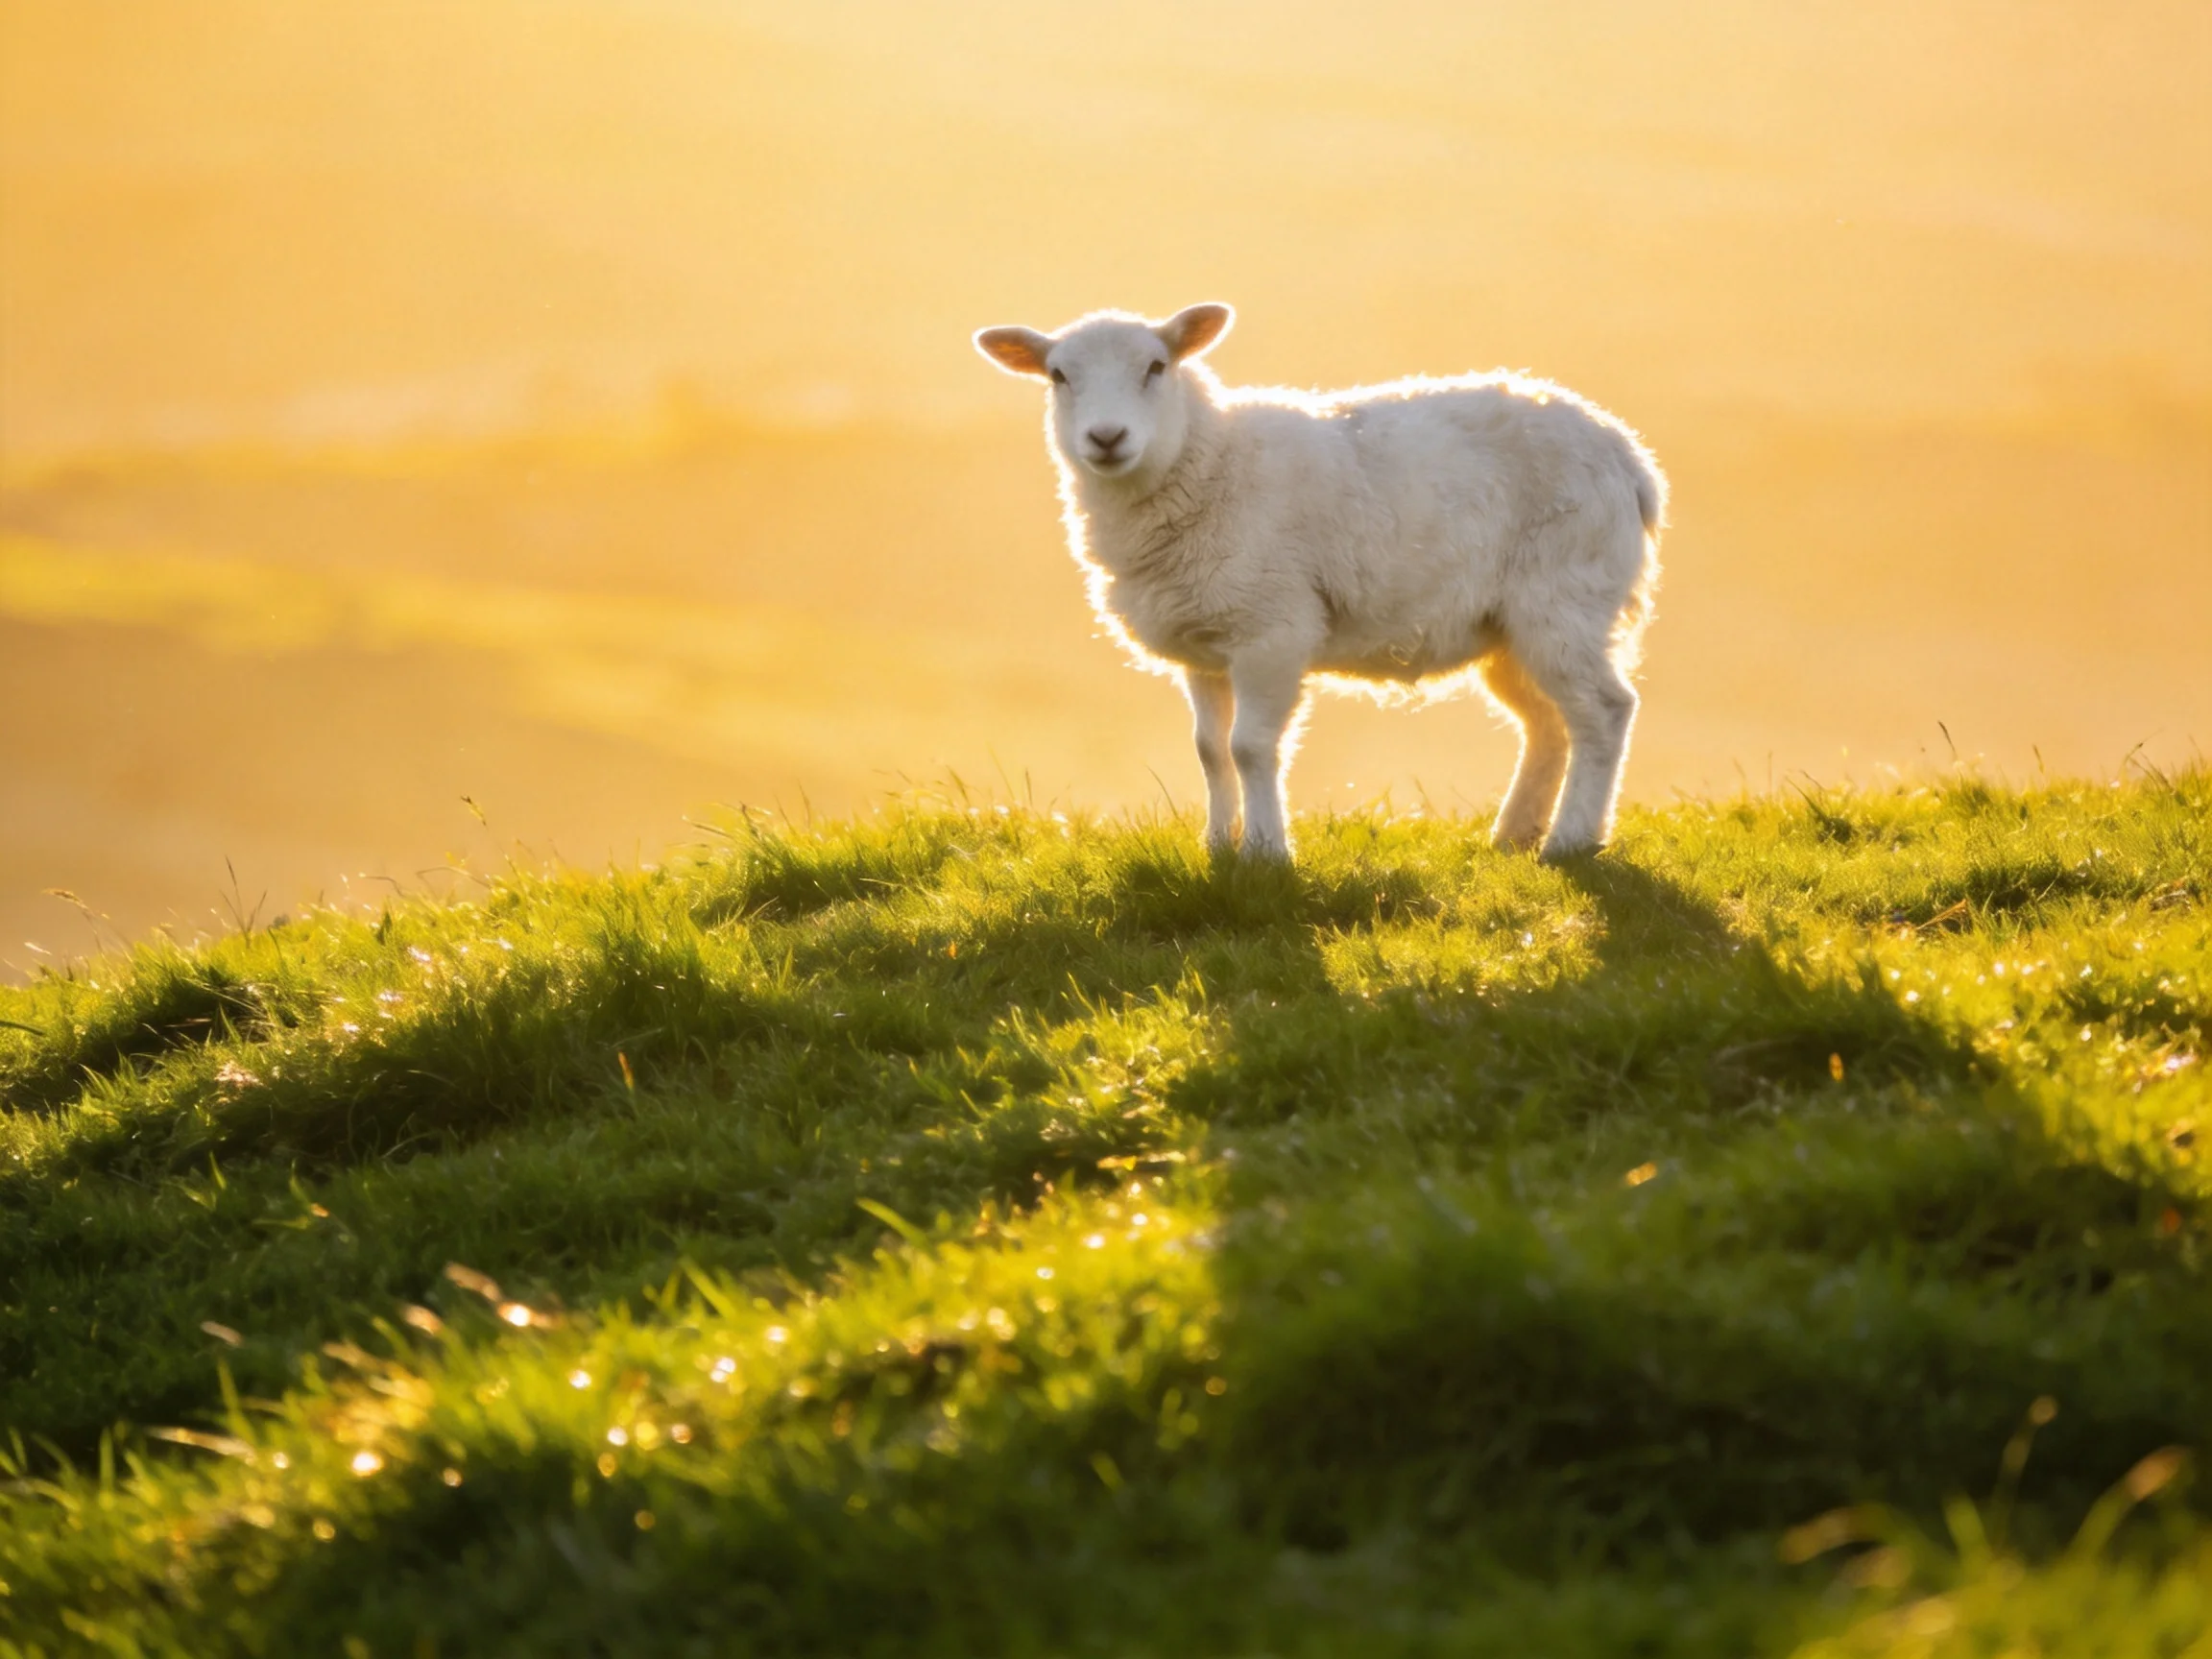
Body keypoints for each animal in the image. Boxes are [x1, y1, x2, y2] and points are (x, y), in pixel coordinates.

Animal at [974, 303, 1665, 862]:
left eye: (1156, 366)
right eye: (1058, 376)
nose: (1107, 437)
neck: (1211, 464)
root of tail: (1629, 456)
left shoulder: (1273, 629)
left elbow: (1251, 747)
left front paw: (1265, 853)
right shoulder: (1203, 644)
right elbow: (1209, 749)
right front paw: (1217, 846)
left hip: (1566, 596)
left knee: (1604, 711)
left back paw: (1571, 841)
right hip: (1510, 628)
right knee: (1548, 723)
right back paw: (1515, 834)